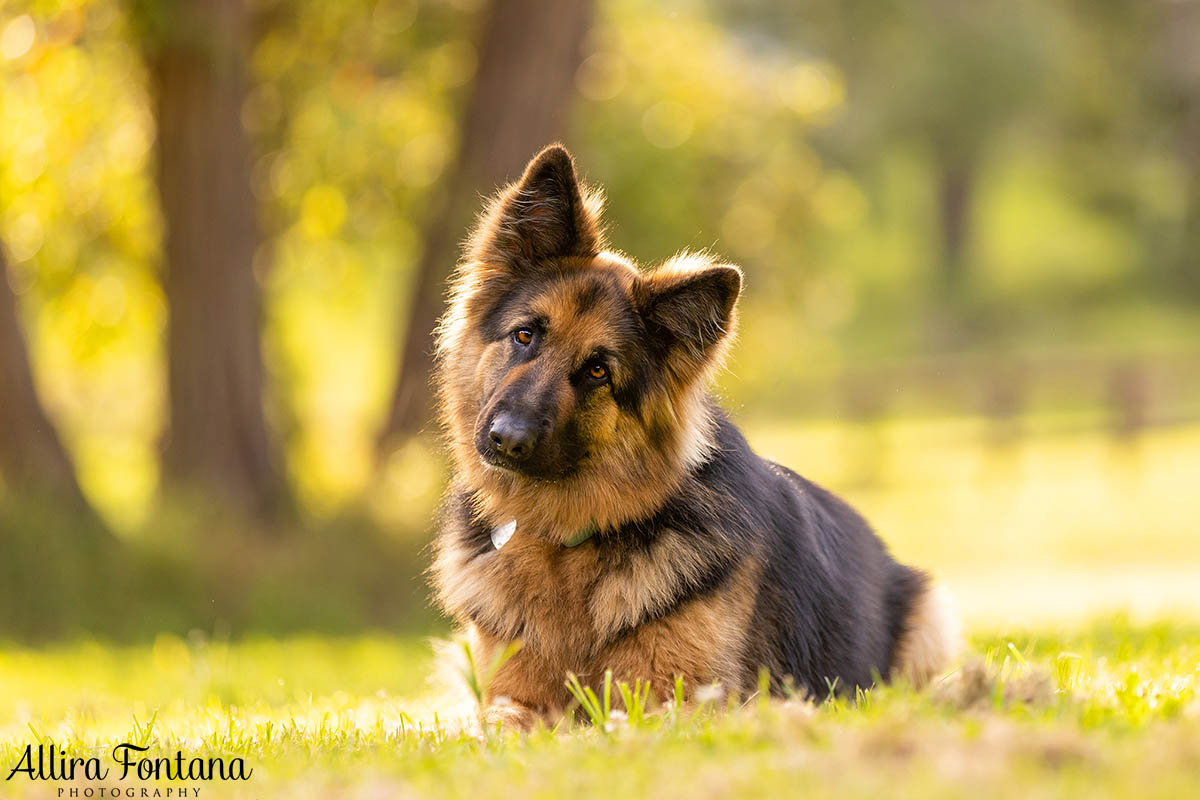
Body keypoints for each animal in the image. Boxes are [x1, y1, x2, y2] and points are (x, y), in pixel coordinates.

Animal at [432, 145, 955, 734]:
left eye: (597, 371)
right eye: (525, 335)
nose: (506, 440)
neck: (568, 539)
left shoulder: (680, 698)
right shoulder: (508, 696)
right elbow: (499, 720)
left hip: (931, 616)